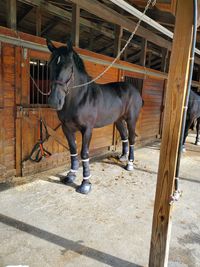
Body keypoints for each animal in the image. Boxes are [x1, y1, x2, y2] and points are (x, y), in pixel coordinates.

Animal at [46, 39, 143, 195]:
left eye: (69, 67)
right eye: (50, 65)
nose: (54, 101)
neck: (79, 98)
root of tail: (134, 90)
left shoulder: (87, 129)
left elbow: (84, 154)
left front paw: (85, 184)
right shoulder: (67, 128)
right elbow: (73, 151)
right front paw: (71, 175)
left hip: (131, 120)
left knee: (132, 138)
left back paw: (130, 164)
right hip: (118, 120)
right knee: (124, 137)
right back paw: (122, 157)